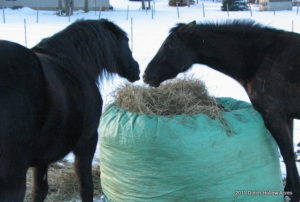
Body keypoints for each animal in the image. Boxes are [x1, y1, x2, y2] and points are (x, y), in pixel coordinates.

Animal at [0, 19, 140, 202]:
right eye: (126, 41)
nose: (136, 69)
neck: (75, 61)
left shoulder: (42, 158)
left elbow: (39, 191)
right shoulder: (87, 142)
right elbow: (86, 186)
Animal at [143, 19, 300, 201]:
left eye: (169, 45)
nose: (146, 75)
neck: (261, 58)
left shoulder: (273, 115)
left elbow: (288, 154)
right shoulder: (286, 117)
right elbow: (289, 154)